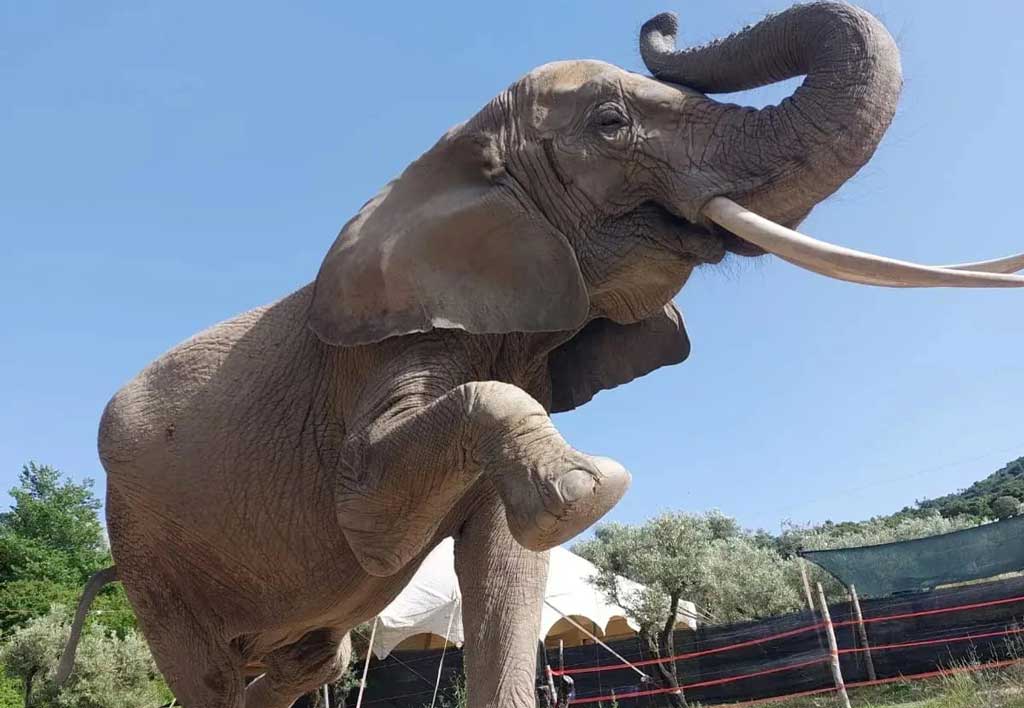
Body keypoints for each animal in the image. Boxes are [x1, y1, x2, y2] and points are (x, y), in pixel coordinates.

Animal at [56, 3, 1024, 707]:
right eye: (611, 123)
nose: (662, 20)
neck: (452, 162)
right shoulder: (389, 350)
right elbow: (372, 517)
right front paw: (589, 488)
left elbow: (506, 571)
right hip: (147, 550)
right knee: (214, 677)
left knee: (314, 664)